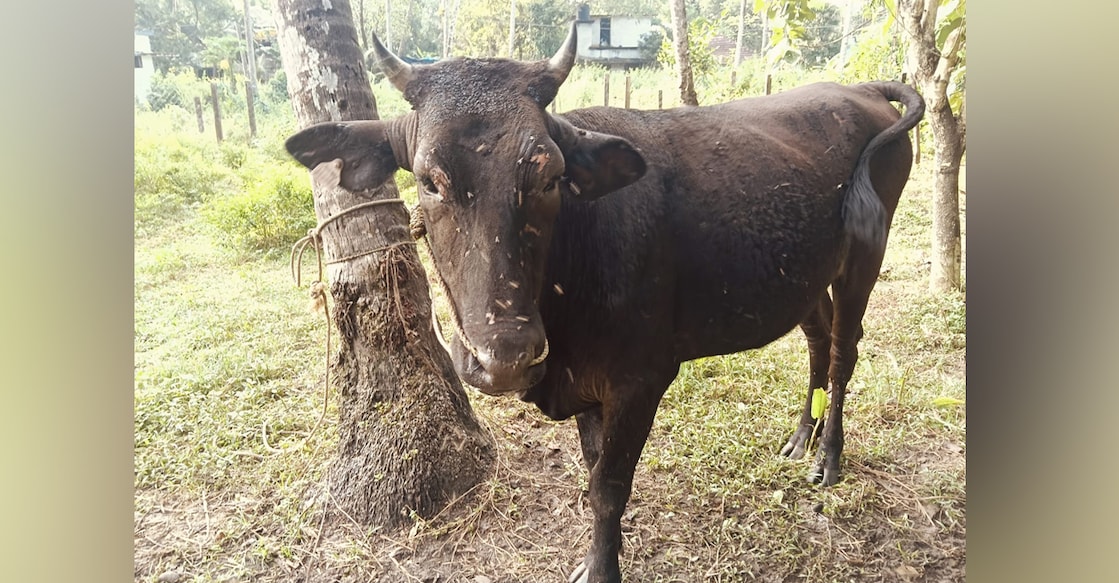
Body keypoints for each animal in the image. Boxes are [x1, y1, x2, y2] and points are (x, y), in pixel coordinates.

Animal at [285, 24, 924, 583]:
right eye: (428, 180)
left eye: (549, 175)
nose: (506, 357)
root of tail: (860, 89)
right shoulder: (587, 390)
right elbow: (593, 475)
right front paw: (596, 557)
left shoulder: (642, 379)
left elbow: (609, 489)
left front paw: (605, 566)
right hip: (806, 277)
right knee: (818, 338)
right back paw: (800, 437)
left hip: (866, 254)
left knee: (843, 352)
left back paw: (829, 456)